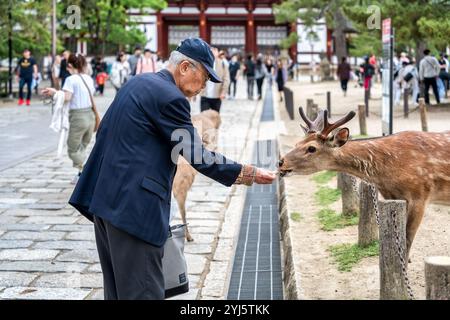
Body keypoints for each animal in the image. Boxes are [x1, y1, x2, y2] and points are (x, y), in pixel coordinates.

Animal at [278, 107, 450, 260]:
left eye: (311, 148)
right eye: (297, 143)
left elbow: (406, 241)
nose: (281, 162)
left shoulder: (420, 195)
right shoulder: (393, 197)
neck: (387, 174)